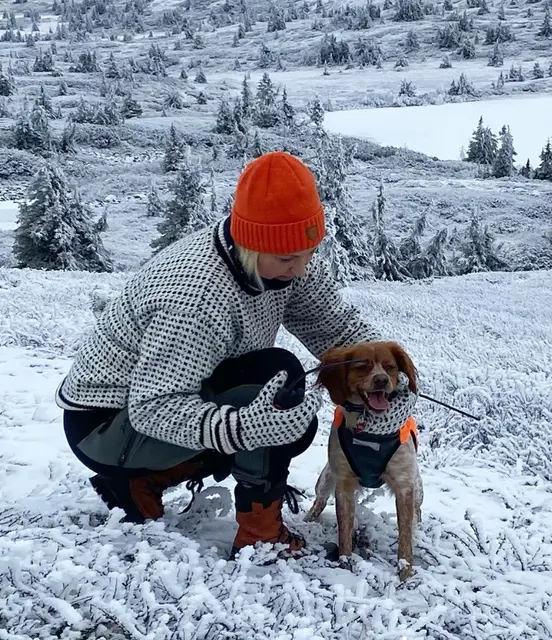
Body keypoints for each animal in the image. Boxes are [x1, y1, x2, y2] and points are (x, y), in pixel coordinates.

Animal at [306, 340, 422, 580]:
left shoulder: (405, 485)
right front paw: (345, 566)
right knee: (319, 501)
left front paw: (405, 574)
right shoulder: (343, 482)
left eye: (390, 367)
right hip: (326, 478)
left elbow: (405, 537)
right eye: (362, 366)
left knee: (417, 514)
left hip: (418, 490)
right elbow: (344, 532)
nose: (381, 380)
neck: (369, 430)